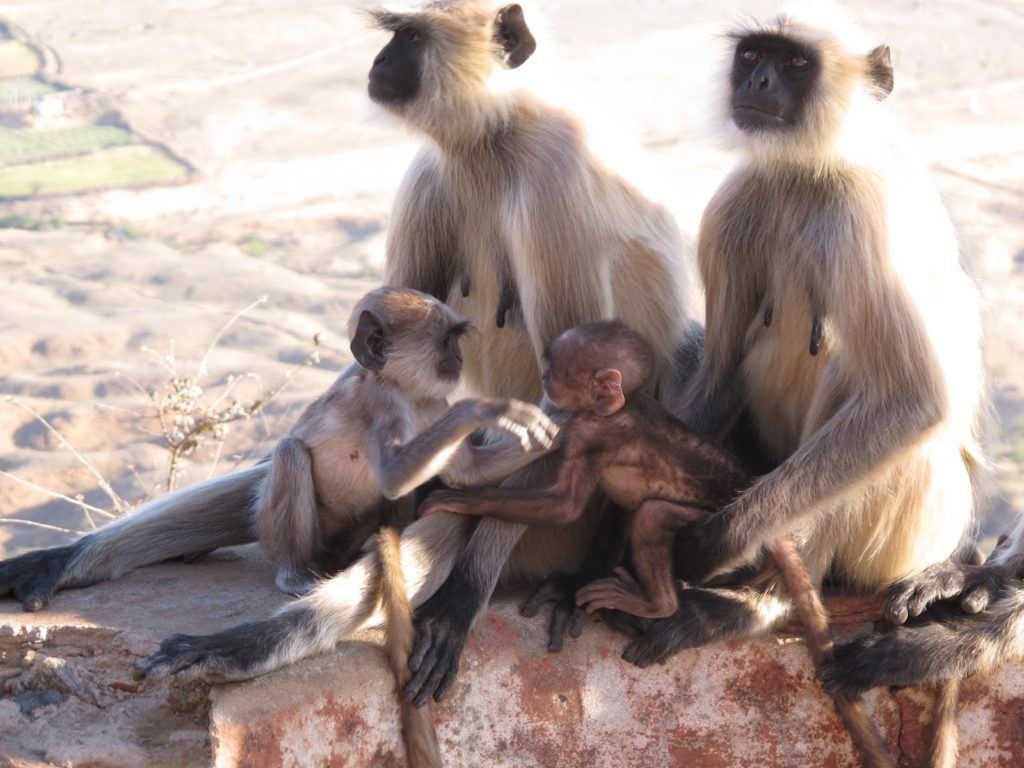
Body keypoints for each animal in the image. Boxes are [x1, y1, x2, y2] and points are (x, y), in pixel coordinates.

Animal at [0, 286, 557, 606]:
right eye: (446, 342)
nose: (458, 360)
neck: (407, 393)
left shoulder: (430, 405)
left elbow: (459, 474)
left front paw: (556, 428)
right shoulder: (384, 405)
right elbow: (393, 473)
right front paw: (489, 410)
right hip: (282, 527)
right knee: (291, 454)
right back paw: (292, 573)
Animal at [419, 321, 741, 622]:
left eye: (555, 370)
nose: (544, 377)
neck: (620, 408)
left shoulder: (588, 433)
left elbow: (565, 505)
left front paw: (464, 501)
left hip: (706, 519)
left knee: (654, 514)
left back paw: (658, 604)